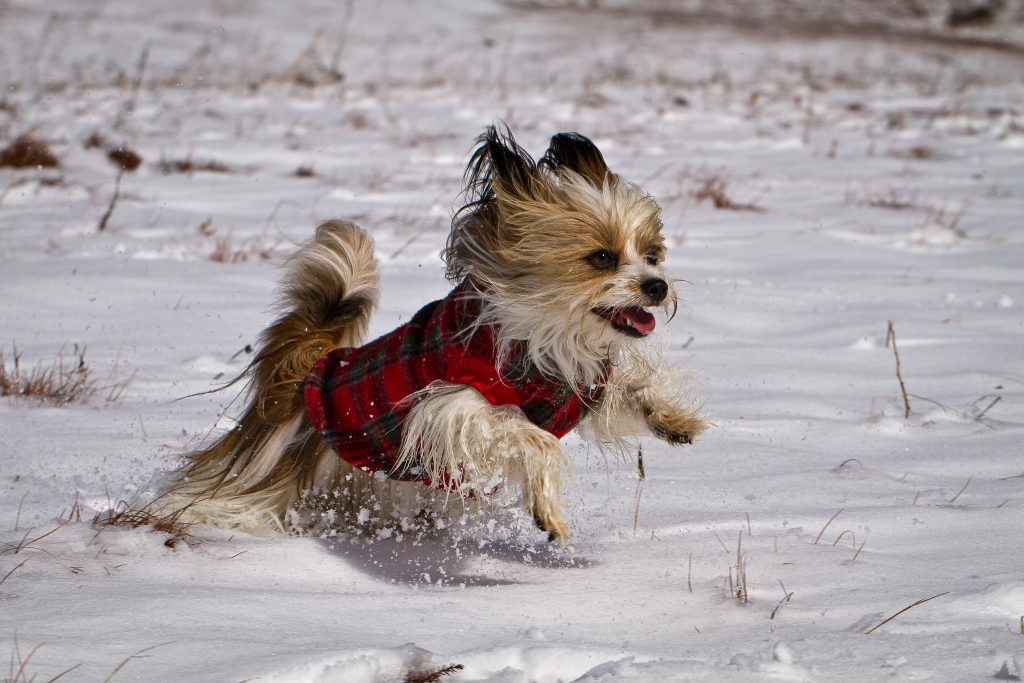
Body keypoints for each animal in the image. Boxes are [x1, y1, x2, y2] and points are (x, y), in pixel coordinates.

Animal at [165, 126, 712, 544]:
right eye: (601, 258)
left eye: (653, 254)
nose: (657, 286)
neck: (545, 334)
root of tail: (307, 371)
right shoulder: (450, 407)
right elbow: (529, 437)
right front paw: (546, 511)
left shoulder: (575, 389)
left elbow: (627, 388)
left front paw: (669, 418)